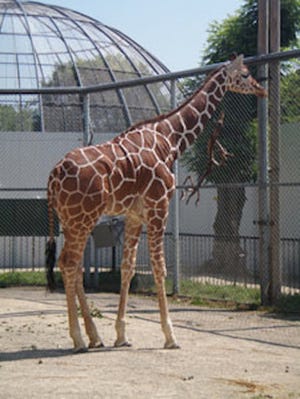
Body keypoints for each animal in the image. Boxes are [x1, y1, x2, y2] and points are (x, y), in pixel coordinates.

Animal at [45, 54, 266, 354]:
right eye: (244, 74)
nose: (261, 89)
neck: (170, 139)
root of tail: (54, 176)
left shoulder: (135, 214)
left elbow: (128, 268)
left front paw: (121, 335)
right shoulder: (159, 205)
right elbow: (159, 267)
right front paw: (170, 336)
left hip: (70, 219)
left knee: (73, 265)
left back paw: (95, 337)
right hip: (83, 217)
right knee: (69, 263)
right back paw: (79, 339)